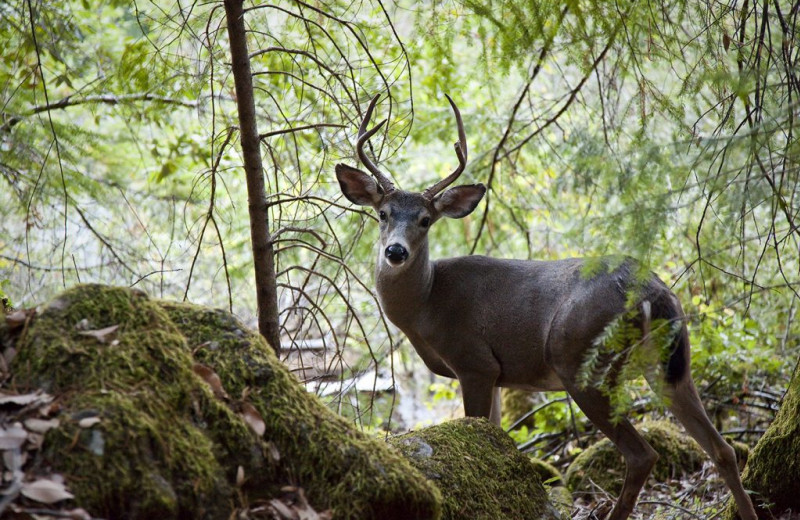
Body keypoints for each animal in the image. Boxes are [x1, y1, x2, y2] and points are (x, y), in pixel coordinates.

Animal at [334, 94, 760, 520]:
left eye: (425, 220)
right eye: (382, 213)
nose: (395, 251)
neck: (426, 305)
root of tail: (652, 290)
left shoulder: (474, 361)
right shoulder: (498, 377)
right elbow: (496, 440)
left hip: (580, 360)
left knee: (643, 455)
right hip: (667, 363)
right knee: (722, 449)